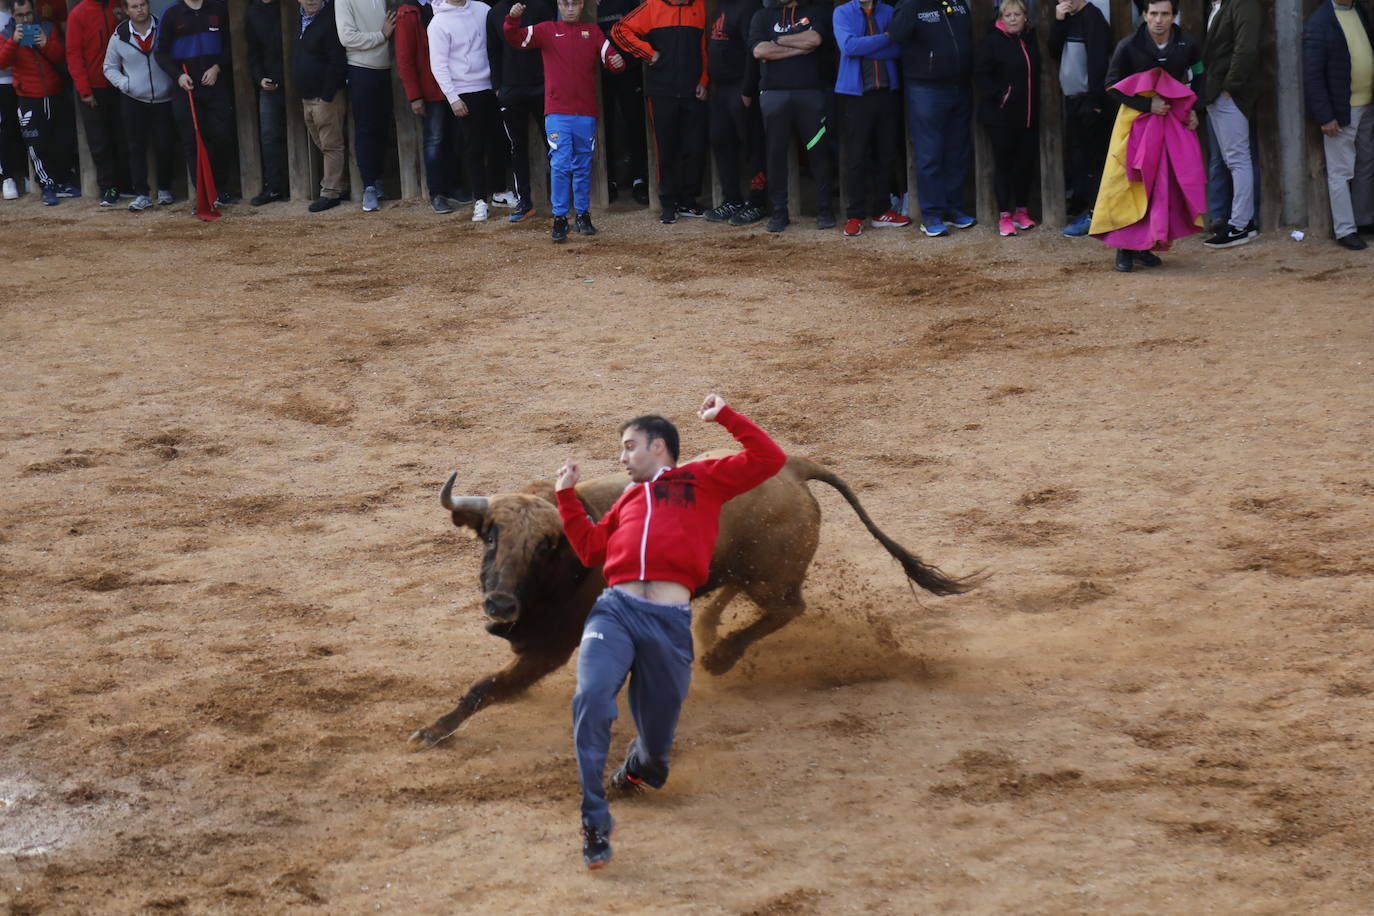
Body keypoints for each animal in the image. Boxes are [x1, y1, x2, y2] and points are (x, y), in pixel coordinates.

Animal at [409, 455, 978, 747]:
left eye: (546, 547)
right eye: (490, 535)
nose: (500, 606)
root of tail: (793, 469)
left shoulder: (554, 646)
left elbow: (486, 686)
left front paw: (433, 730)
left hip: (770, 577)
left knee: (788, 608)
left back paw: (720, 655)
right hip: (745, 567)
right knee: (738, 593)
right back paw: (706, 630)